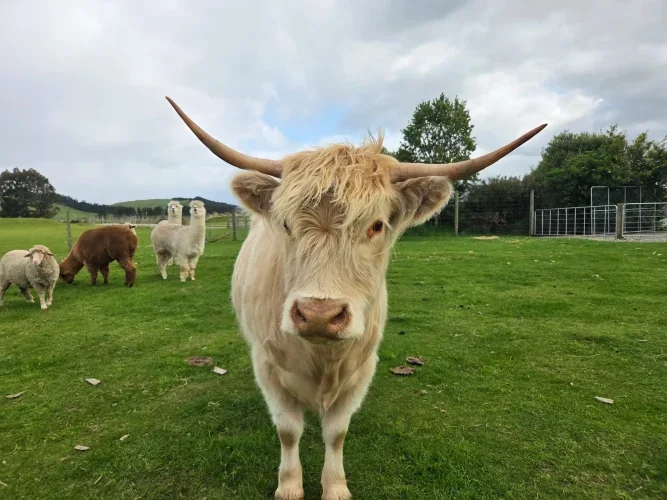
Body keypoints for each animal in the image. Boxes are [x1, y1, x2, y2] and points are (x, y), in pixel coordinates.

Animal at [165, 96, 546, 500]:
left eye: (376, 225)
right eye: (285, 224)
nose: (318, 314)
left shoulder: (362, 367)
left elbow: (337, 432)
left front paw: (335, 487)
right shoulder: (267, 365)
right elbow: (288, 430)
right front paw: (289, 486)